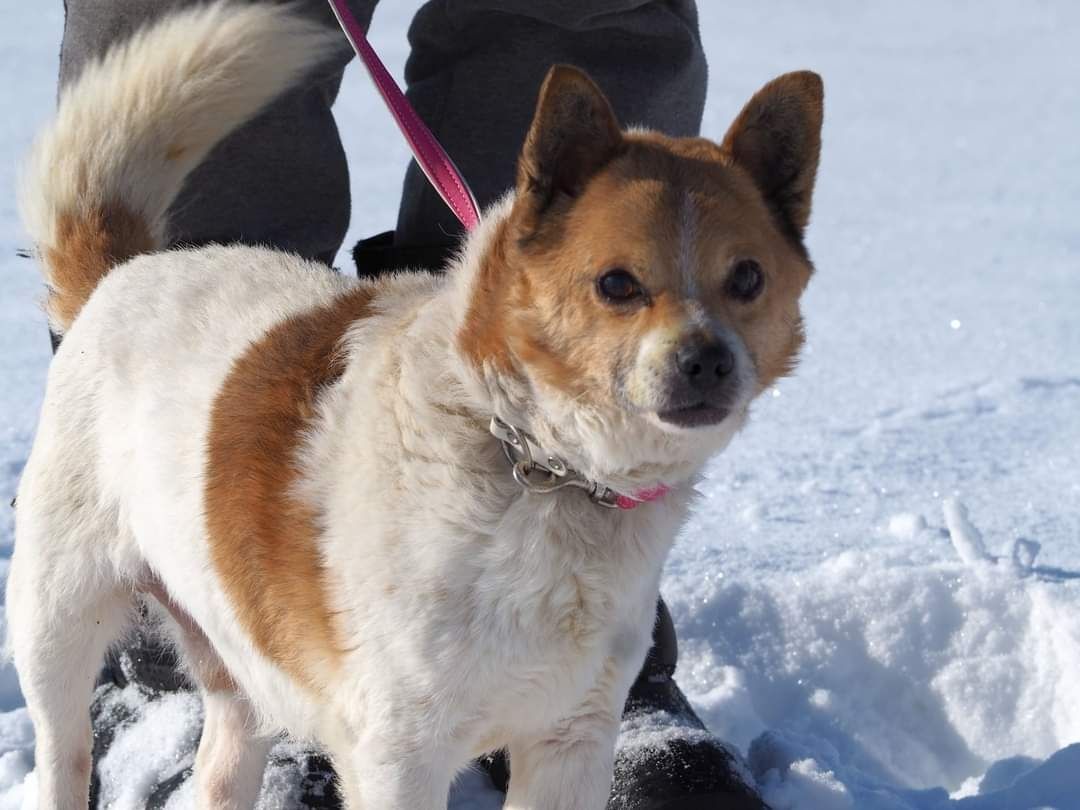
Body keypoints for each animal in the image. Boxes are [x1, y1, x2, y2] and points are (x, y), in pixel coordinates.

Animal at [4, 3, 820, 807]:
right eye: (617, 283)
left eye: (748, 278)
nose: (707, 360)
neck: (537, 462)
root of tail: (124, 271)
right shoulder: (401, 754)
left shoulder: (572, 739)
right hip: (59, 618)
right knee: (63, 748)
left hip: (238, 643)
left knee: (224, 757)